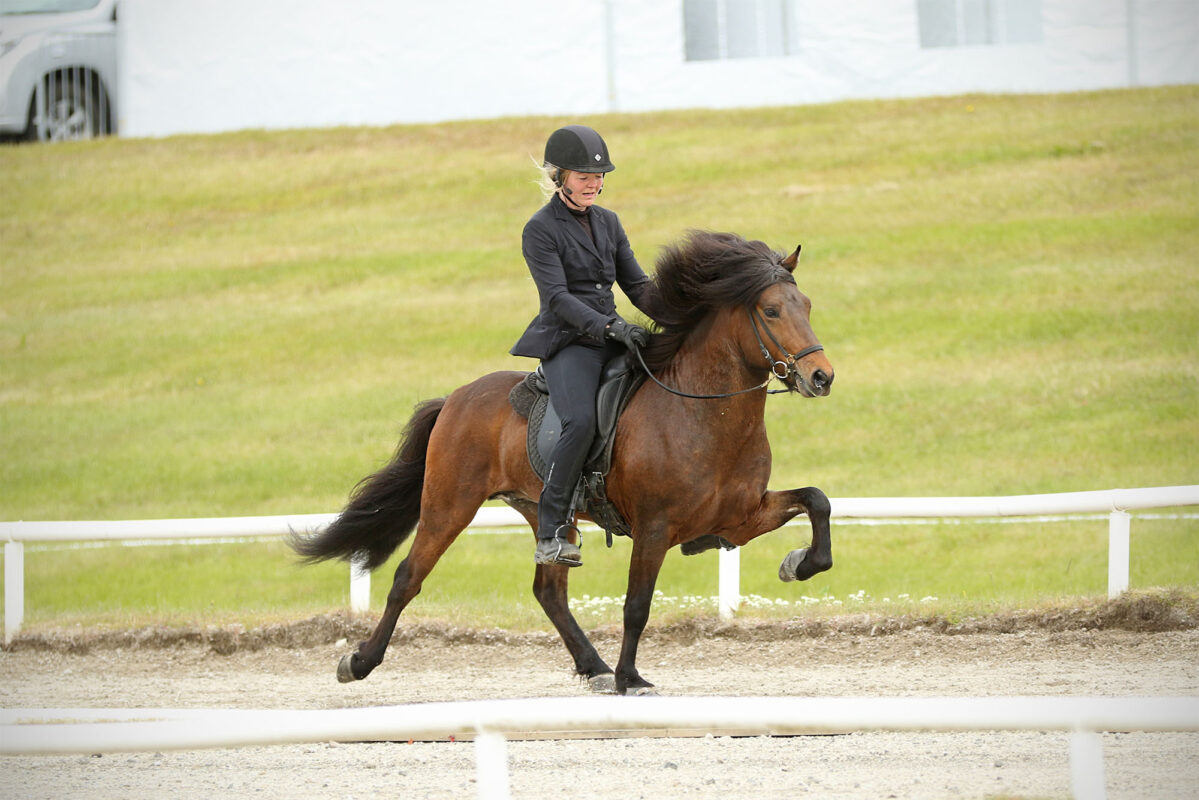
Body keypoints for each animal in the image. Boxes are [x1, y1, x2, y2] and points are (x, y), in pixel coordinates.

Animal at [290, 230, 834, 695]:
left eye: (807, 306)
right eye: (771, 310)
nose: (821, 377)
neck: (703, 409)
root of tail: (455, 399)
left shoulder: (739, 519)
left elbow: (817, 502)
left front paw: (797, 564)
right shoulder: (655, 527)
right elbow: (636, 605)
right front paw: (631, 678)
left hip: (546, 512)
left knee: (548, 590)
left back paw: (593, 667)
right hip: (449, 505)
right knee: (408, 577)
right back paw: (359, 662)